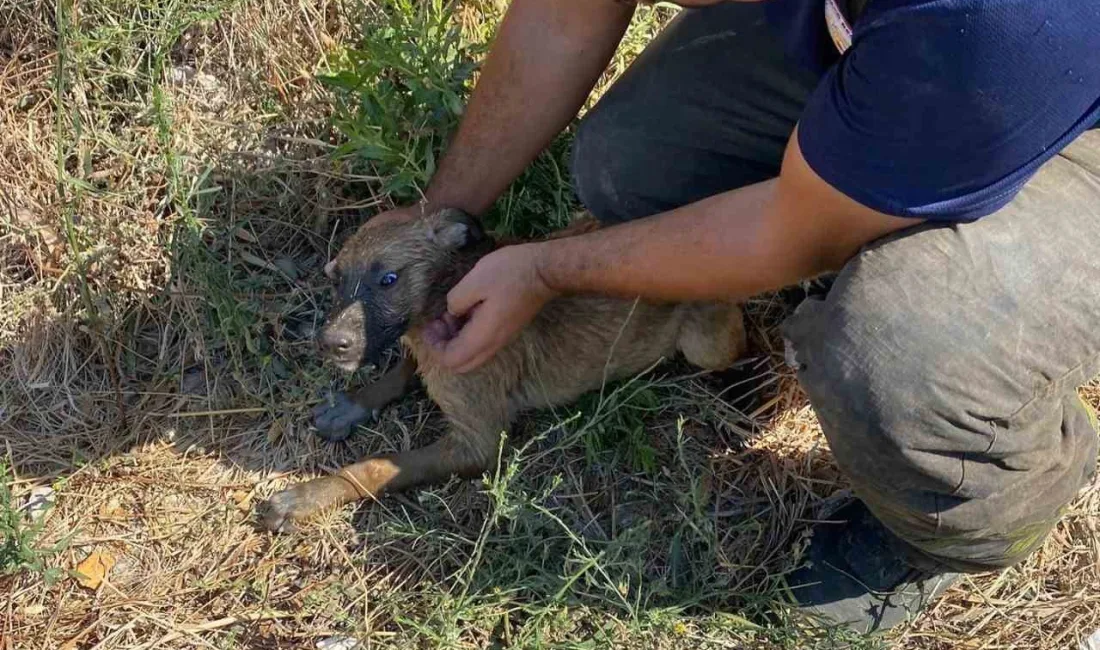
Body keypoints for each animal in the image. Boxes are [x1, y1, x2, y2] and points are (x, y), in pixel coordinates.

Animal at [257, 211, 743, 532]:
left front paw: (309, 495)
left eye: (389, 279)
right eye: (336, 280)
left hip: (705, 343)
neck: (445, 294)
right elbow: (402, 370)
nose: (329, 343)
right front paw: (353, 405)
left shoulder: (477, 444)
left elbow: (375, 466)